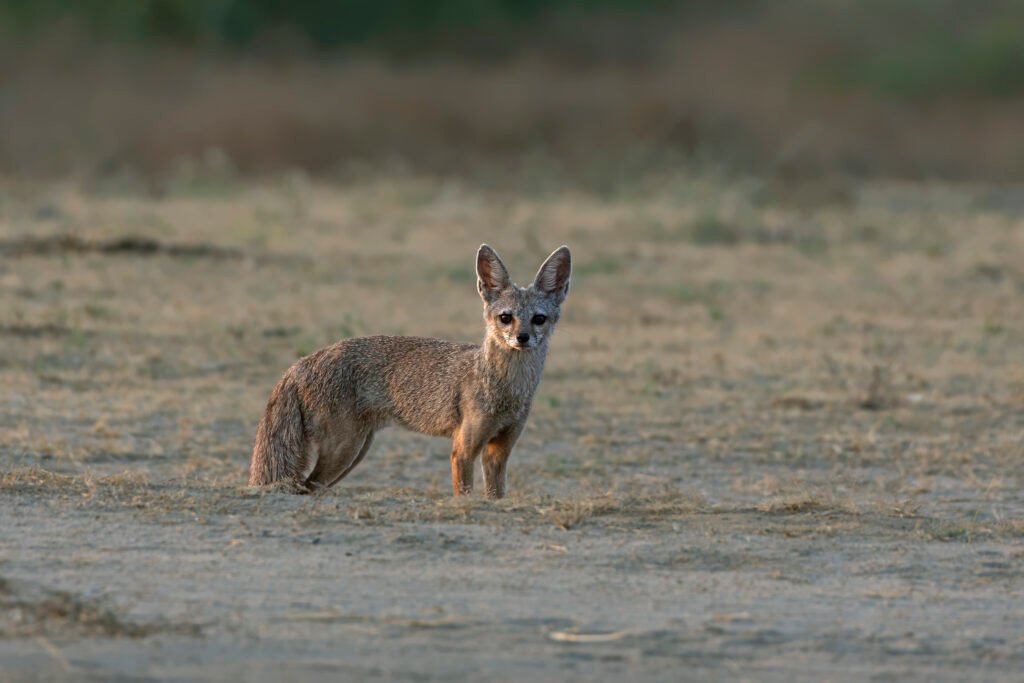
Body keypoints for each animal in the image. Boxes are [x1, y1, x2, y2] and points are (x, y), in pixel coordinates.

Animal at [248, 244, 572, 498]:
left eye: (539, 319)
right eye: (506, 318)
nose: (522, 338)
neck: (507, 388)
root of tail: (301, 362)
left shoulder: (499, 450)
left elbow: (496, 496)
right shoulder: (463, 449)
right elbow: (464, 495)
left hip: (355, 451)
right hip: (345, 450)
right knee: (305, 486)